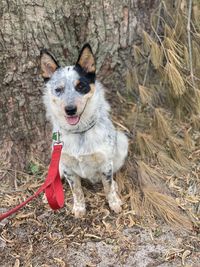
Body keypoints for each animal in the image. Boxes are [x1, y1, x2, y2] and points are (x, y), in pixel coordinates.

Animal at [40, 44, 128, 219]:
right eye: (58, 89)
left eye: (80, 86)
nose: (70, 110)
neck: (79, 131)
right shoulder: (67, 167)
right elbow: (77, 191)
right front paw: (79, 208)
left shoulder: (106, 163)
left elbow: (108, 187)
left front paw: (114, 202)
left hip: (122, 142)